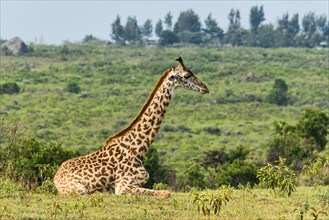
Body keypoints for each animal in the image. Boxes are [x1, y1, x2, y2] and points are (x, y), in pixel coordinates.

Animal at [53, 56, 208, 198]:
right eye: (186, 75)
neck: (137, 150)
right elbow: (167, 193)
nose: (205, 88)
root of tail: (55, 177)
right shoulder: (123, 187)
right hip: (78, 190)